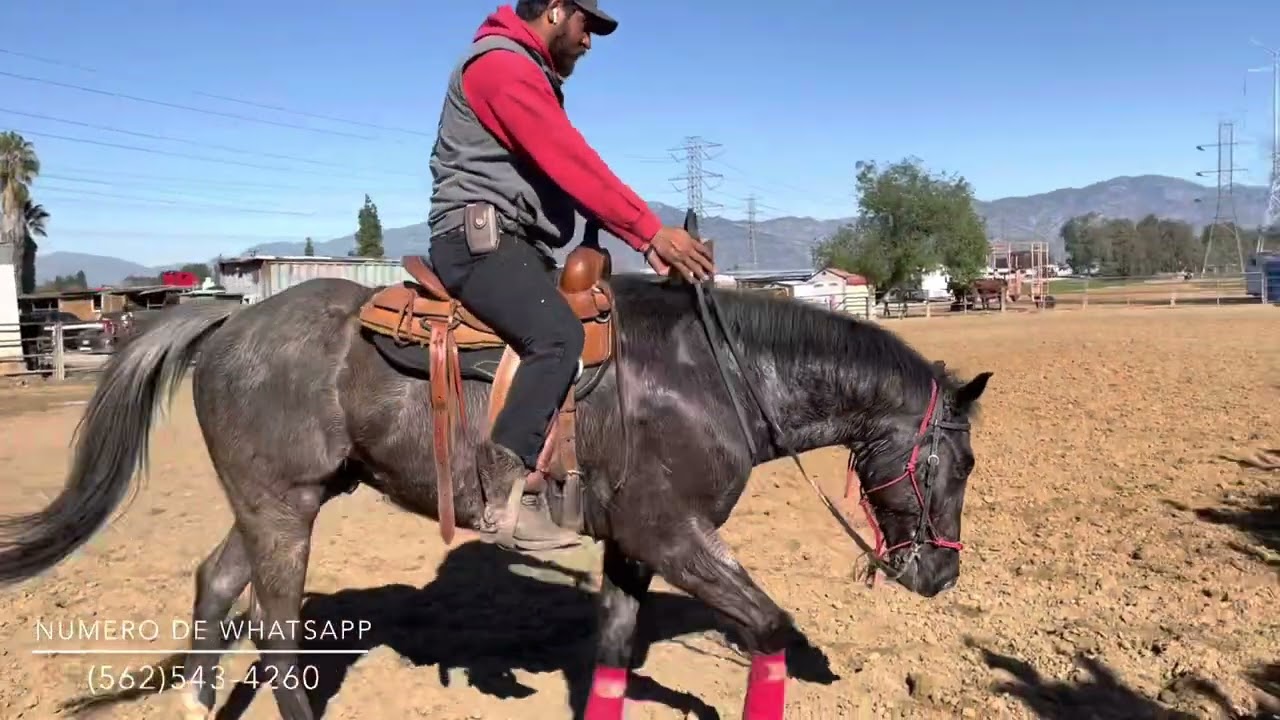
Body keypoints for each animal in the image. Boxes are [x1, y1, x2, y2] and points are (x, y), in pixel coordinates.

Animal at [0, 231, 992, 720]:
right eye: (959, 460)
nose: (941, 575)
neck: (715, 372)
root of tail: (226, 323)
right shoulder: (675, 535)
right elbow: (770, 629)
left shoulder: (634, 543)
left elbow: (612, 656)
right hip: (282, 512)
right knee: (279, 641)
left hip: (282, 500)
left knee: (216, 583)